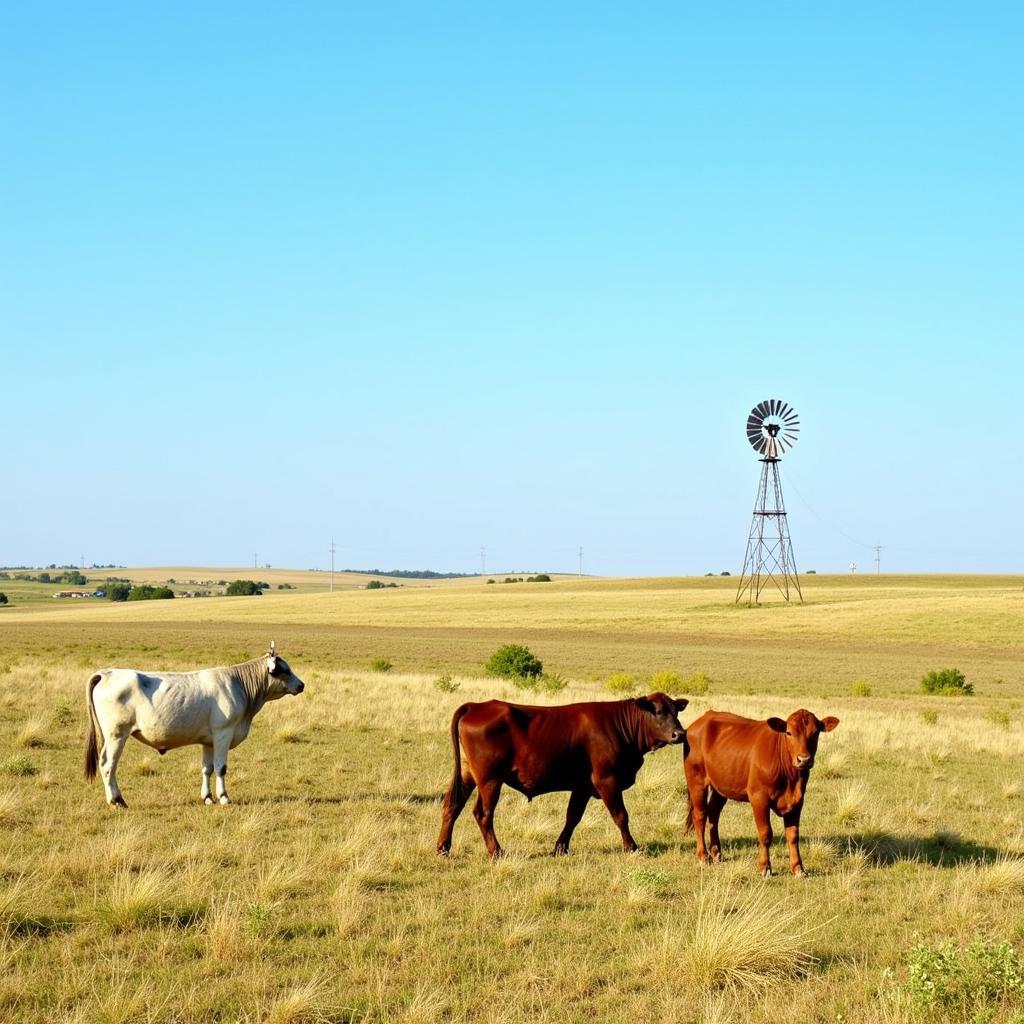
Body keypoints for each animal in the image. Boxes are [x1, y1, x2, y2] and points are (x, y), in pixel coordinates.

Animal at [83, 638, 303, 806]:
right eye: (284, 669)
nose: (301, 685)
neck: (238, 685)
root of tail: (106, 673)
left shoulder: (208, 740)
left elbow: (207, 768)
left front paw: (208, 797)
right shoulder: (223, 733)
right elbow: (221, 767)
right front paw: (224, 797)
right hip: (116, 735)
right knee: (108, 765)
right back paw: (116, 800)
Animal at [434, 696, 684, 856]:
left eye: (676, 711)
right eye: (659, 711)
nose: (679, 734)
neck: (619, 727)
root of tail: (475, 706)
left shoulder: (582, 786)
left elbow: (572, 817)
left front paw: (560, 847)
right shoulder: (607, 780)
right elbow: (621, 816)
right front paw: (631, 847)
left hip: (468, 775)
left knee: (452, 805)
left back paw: (443, 847)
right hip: (490, 780)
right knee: (483, 814)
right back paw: (496, 851)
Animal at [679, 708, 839, 876]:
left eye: (815, 733)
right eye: (788, 732)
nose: (804, 760)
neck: (791, 779)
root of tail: (702, 719)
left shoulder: (797, 801)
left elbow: (793, 835)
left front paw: (798, 868)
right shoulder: (759, 798)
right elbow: (765, 833)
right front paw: (764, 867)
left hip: (721, 786)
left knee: (713, 814)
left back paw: (716, 853)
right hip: (696, 781)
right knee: (700, 815)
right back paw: (703, 856)